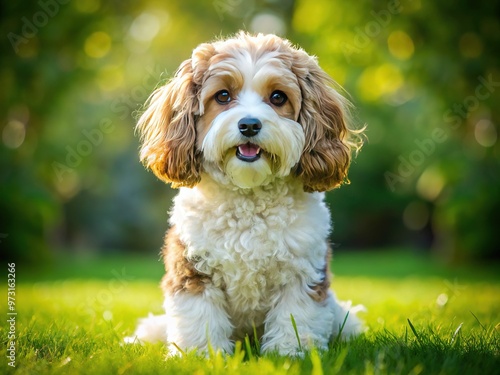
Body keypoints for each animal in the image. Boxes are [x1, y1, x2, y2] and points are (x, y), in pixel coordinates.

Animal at [127, 31, 366, 356]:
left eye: (278, 97)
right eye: (223, 96)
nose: (250, 124)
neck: (248, 198)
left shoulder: (302, 272)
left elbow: (296, 317)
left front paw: (290, 353)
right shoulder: (193, 270)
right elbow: (199, 317)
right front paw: (201, 354)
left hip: (342, 317)